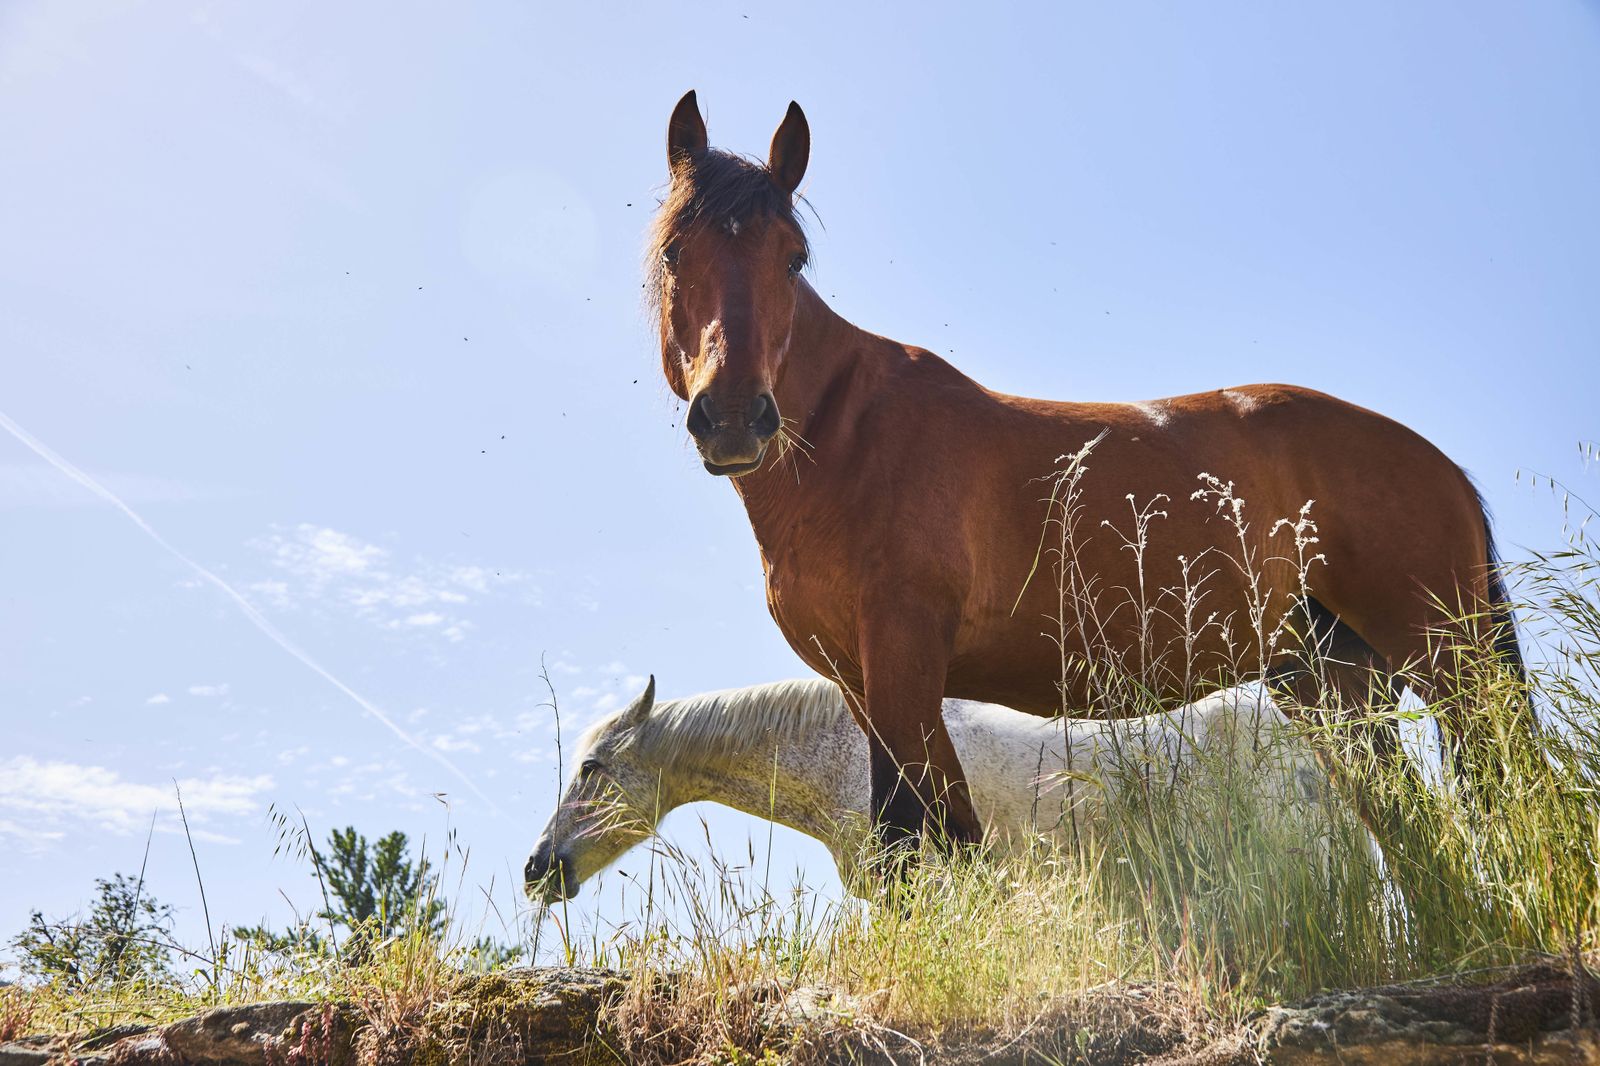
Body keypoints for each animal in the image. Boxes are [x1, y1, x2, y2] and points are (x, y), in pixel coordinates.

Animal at [643, 90, 1528, 852]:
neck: (847, 439)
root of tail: (1438, 463)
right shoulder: (861, 686)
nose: (734, 416)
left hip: (1451, 668)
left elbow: (931, 835)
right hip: (1331, 685)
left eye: (793, 258)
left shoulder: (905, 666)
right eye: (676, 249)